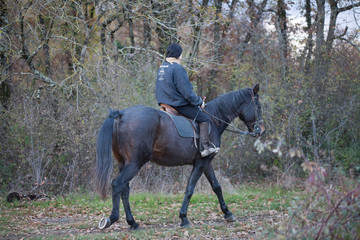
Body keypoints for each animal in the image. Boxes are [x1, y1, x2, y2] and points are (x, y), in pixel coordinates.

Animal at [94, 83, 266, 230]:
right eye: (258, 106)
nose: (262, 130)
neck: (213, 120)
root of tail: (121, 115)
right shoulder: (201, 163)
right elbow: (189, 189)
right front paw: (184, 218)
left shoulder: (205, 163)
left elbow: (216, 187)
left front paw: (228, 213)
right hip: (134, 163)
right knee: (118, 185)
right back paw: (112, 219)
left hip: (124, 163)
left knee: (125, 190)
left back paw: (133, 223)